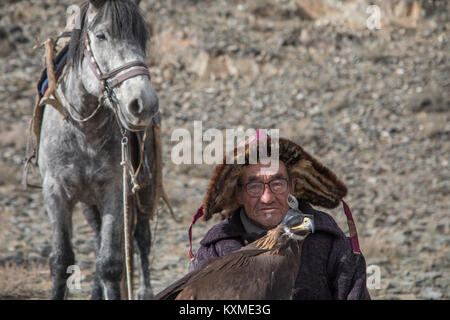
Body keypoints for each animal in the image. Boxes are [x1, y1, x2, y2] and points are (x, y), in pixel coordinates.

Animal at [38, 0, 158, 300]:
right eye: (102, 36)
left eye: (143, 38)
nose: (145, 104)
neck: (84, 130)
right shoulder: (55, 191)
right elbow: (61, 261)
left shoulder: (114, 190)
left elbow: (111, 264)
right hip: (89, 201)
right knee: (96, 237)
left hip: (143, 189)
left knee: (141, 238)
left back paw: (145, 292)